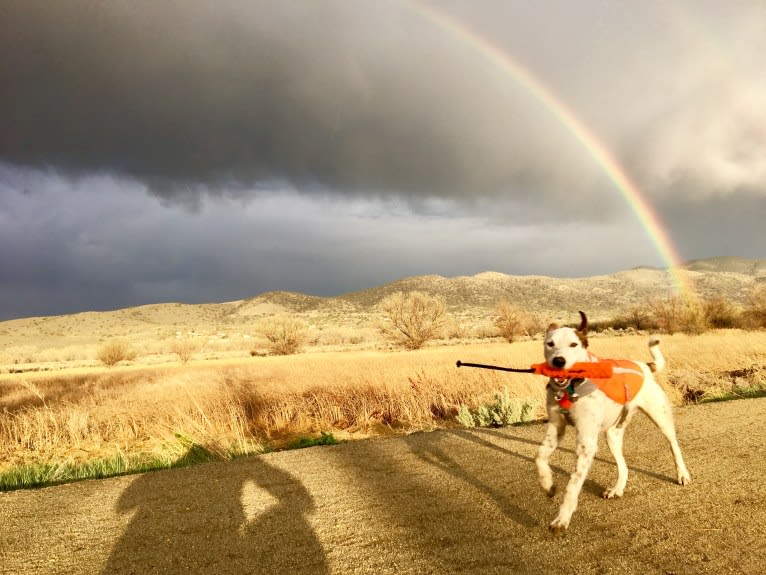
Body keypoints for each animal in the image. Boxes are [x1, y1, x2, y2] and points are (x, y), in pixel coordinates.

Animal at [536, 312, 692, 532]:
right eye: (550, 344)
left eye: (574, 344)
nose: (558, 361)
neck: (570, 389)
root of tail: (644, 366)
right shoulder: (555, 428)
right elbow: (540, 457)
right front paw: (548, 484)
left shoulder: (586, 443)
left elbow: (573, 484)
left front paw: (562, 517)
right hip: (613, 433)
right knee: (623, 465)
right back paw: (617, 488)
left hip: (660, 418)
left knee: (673, 445)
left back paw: (682, 474)